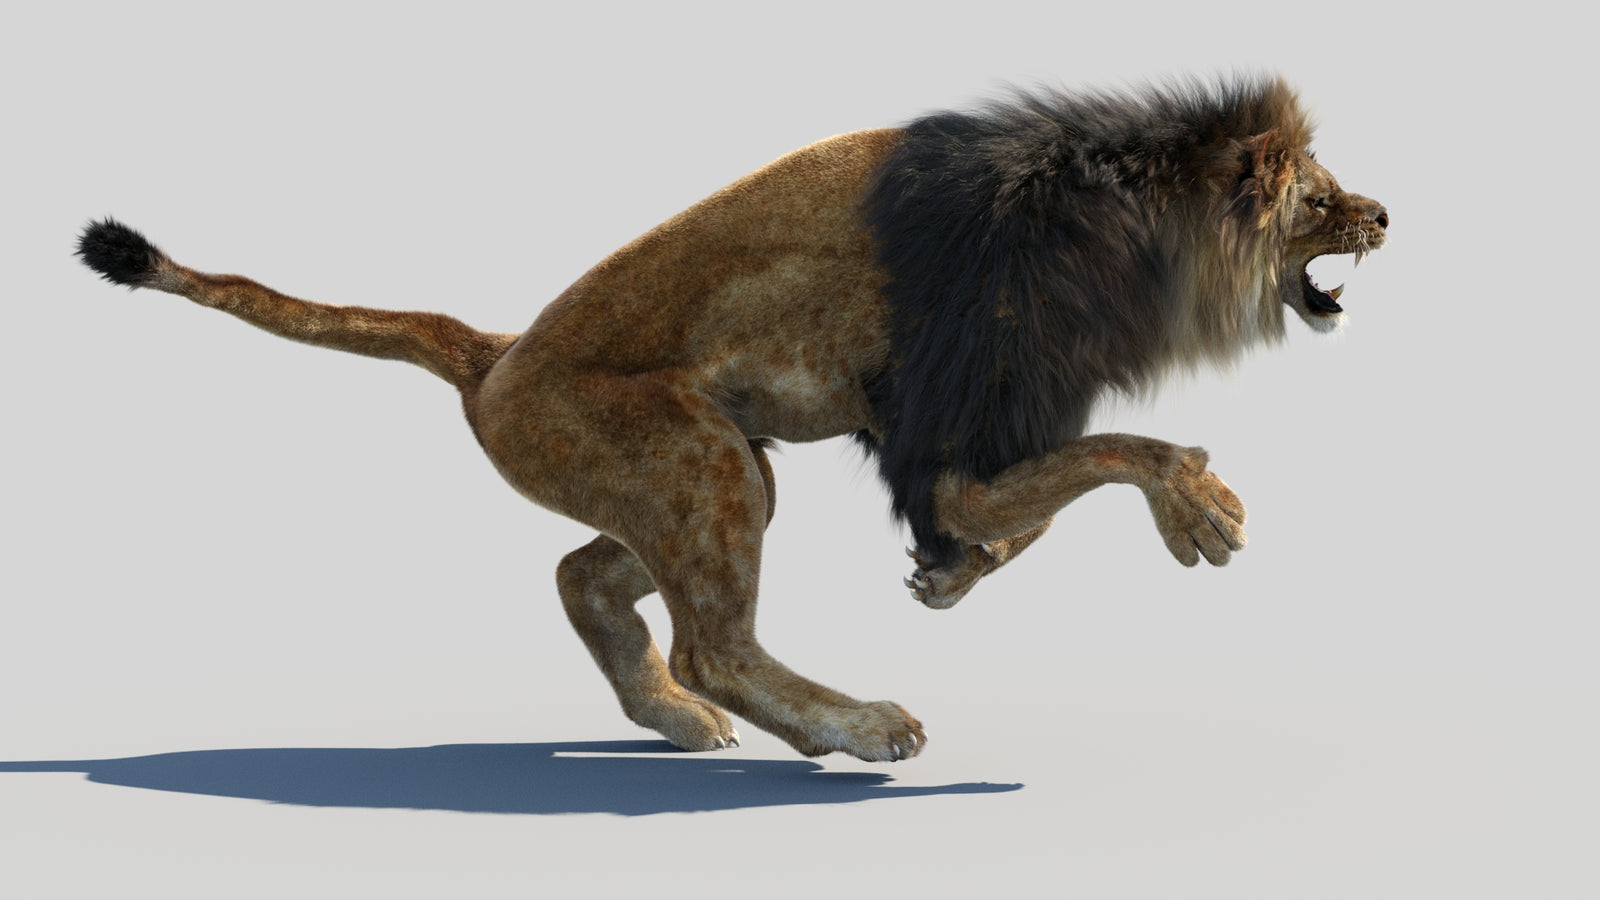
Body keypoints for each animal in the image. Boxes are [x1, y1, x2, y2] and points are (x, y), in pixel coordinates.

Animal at [76, 75, 1387, 762]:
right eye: (1318, 198)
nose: (1383, 215)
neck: (1135, 234)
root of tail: (495, 360)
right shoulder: (951, 426)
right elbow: (1110, 455)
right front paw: (1199, 509)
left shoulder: (952, 430)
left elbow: (1041, 505)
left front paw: (954, 574)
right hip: (695, 454)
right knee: (713, 636)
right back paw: (852, 726)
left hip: (714, 464)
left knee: (581, 572)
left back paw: (670, 713)